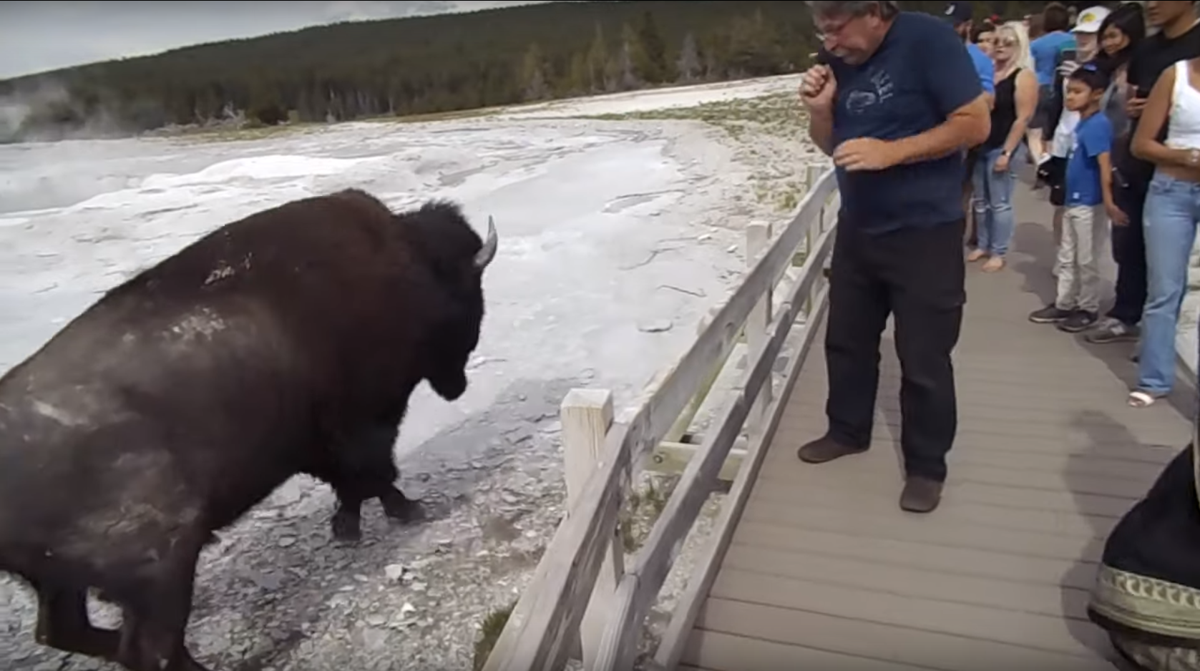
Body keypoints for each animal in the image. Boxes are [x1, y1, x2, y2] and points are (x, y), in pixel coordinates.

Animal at [0, 188, 498, 671]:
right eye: (469, 291)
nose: (457, 386)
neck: (408, 257)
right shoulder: (366, 417)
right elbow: (375, 471)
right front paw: (407, 510)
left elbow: (352, 480)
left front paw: (348, 526)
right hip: (162, 571)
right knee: (147, 649)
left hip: (64, 584)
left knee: (66, 633)